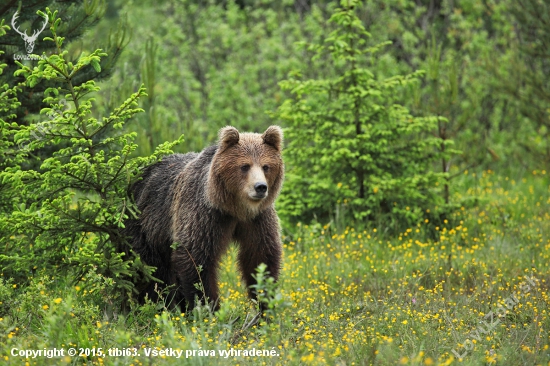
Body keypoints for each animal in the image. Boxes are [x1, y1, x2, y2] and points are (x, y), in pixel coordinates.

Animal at [125, 125, 286, 308]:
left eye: (266, 166)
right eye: (245, 166)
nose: (260, 187)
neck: (235, 209)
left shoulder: (257, 219)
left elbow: (260, 257)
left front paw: (265, 303)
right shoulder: (205, 216)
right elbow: (195, 260)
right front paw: (208, 306)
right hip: (146, 229)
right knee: (151, 273)